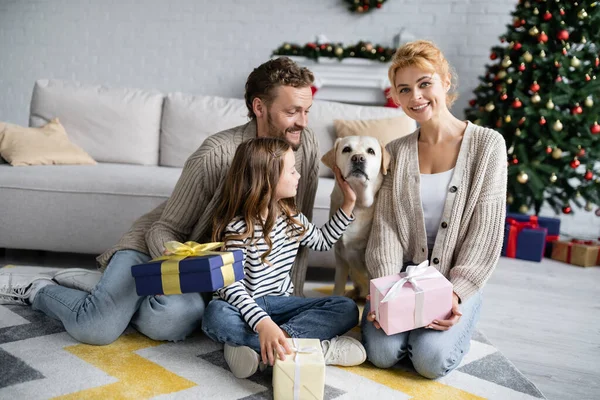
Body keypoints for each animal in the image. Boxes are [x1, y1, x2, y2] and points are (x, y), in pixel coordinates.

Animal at [322, 136, 392, 298]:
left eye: (371, 151)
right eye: (346, 149)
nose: (358, 158)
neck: (358, 204)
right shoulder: (340, 257)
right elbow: (338, 286)